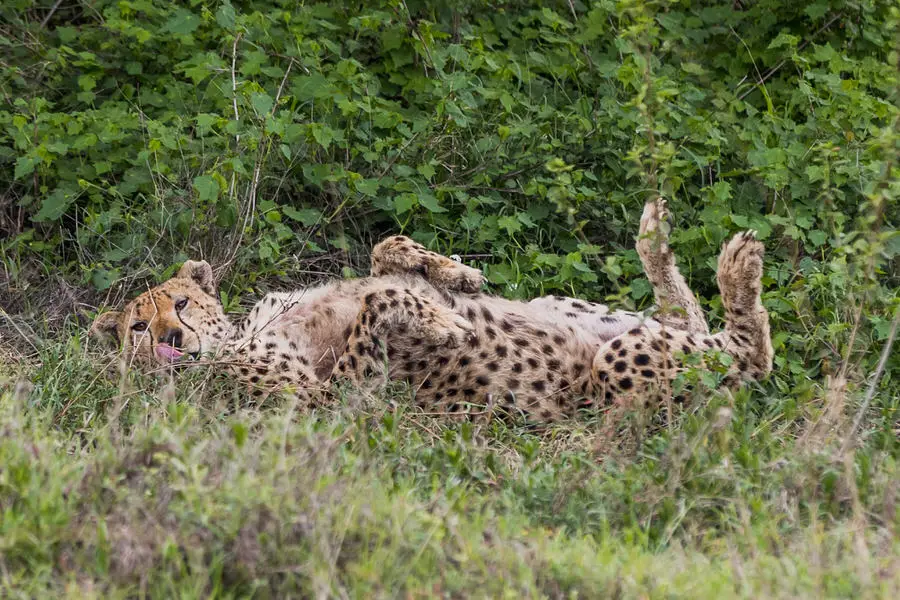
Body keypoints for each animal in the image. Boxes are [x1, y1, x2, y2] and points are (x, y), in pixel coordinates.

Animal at [91, 202, 772, 422]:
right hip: (616, 372)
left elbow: (381, 252)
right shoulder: (331, 402)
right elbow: (378, 299)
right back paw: (738, 271)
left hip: (581, 311)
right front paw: (441, 318)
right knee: (751, 350)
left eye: (181, 304)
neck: (237, 336)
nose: (173, 341)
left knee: (694, 322)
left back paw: (659, 239)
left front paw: (451, 274)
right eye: (138, 328)